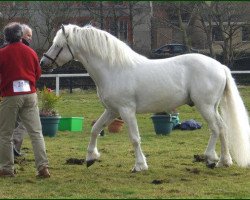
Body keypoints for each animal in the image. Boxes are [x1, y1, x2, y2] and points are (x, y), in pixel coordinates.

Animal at [40, 24, 250, 171]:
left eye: (58, 45)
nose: (43, 63)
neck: (113, 69)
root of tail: (220, 66)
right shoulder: (112, 110)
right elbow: (95, 129)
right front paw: (91, 157)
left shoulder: (126, 111)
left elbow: (134, 138)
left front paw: (140, 165)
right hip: (212, 107)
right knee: (223, 128)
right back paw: (224, 161)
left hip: (204, 106)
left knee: (215, 128)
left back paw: (209, 158)